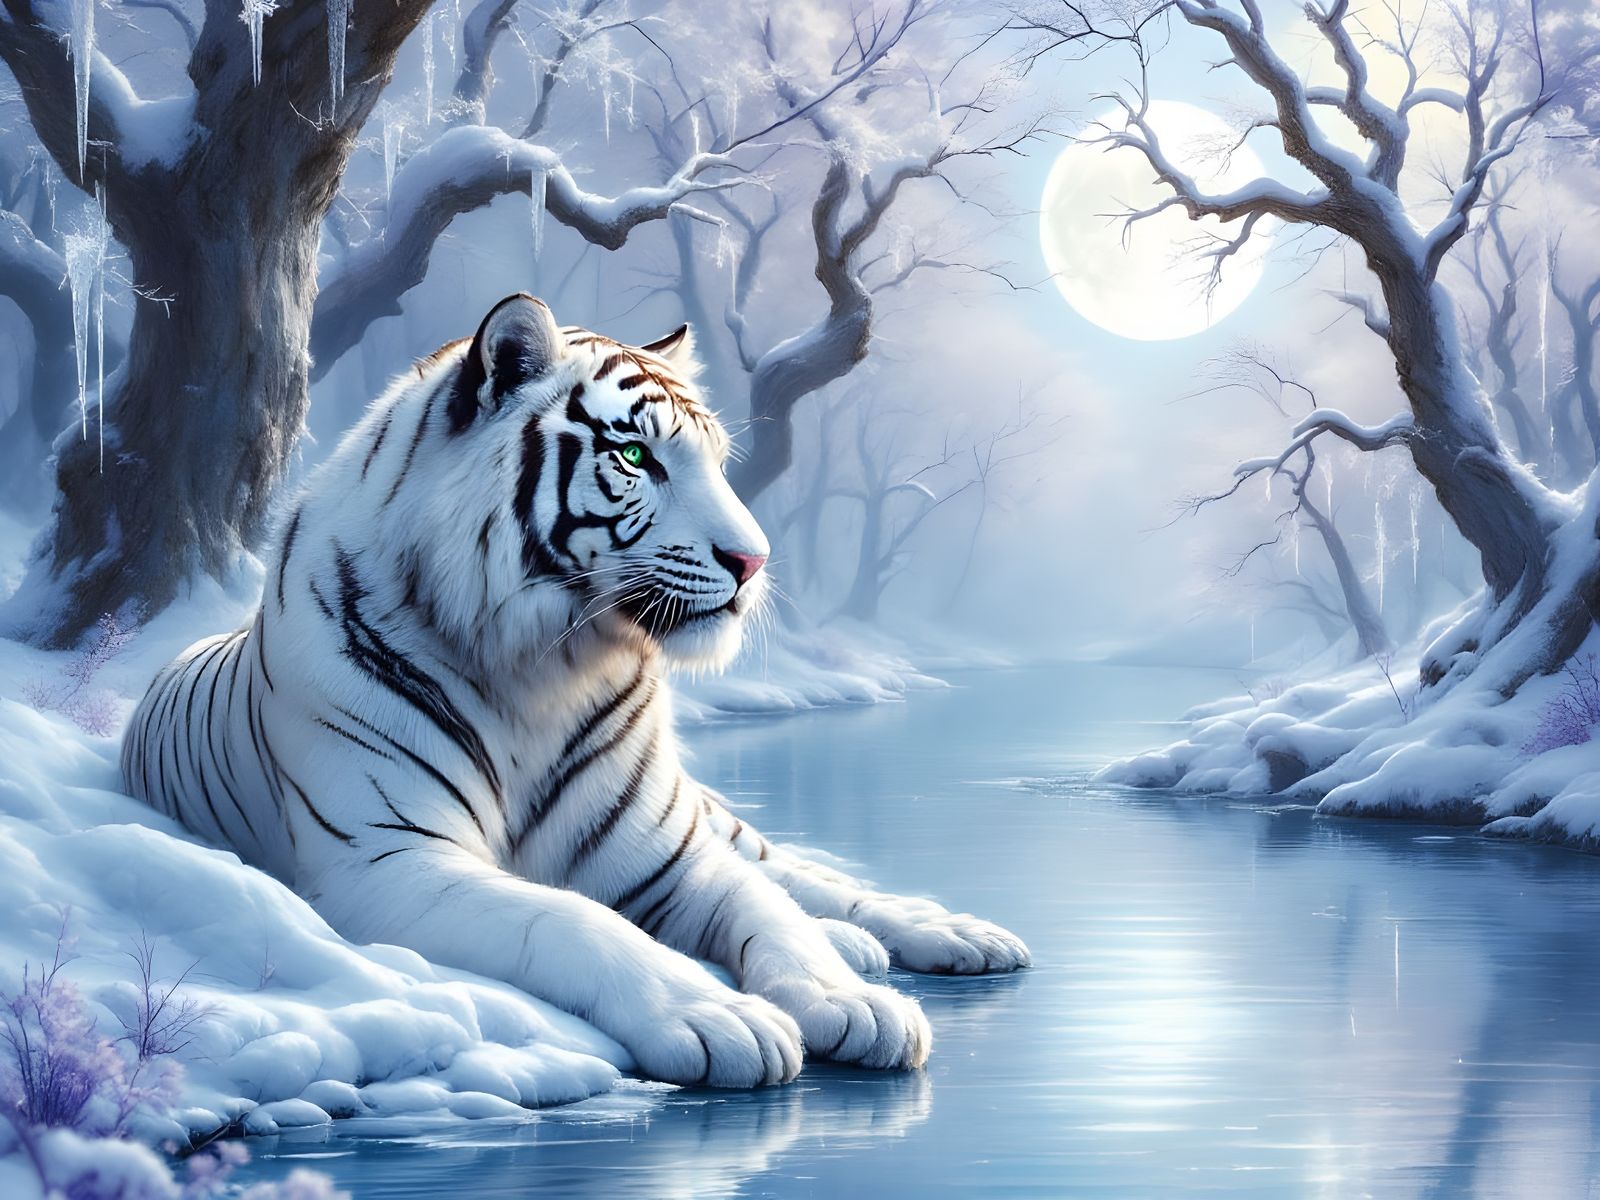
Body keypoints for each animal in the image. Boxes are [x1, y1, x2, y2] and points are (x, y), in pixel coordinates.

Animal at [121, 294, 1029, 1089]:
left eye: (718, 465)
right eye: (635, 457)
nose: (754, 561)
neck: (542, 667)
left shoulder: (672, 851)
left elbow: (770, 913)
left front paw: (852, 1002)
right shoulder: (389, 860)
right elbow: (570, 918)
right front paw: (718, 1016)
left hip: (717, 821)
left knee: (805, 879)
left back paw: (939, 935)